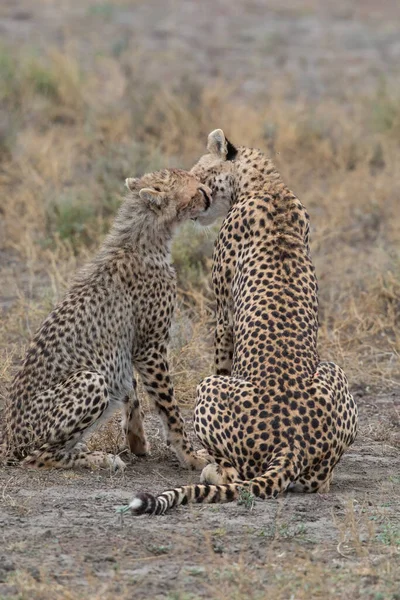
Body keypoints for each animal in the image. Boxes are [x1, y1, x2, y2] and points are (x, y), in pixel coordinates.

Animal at [3, 168, 214, 468]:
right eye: (198, 190)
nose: (210, 195)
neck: (141, 239)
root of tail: (9, 440)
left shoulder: (130, 347)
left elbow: (131, 391)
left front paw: (138, 441)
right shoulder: (151, 348)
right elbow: (169, 408)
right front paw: (190, 456)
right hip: (90, 380)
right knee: (38, 458)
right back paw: (98, 458)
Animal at [130, 129, 358, 512]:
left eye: (201, 176)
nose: (198, 203)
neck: (266, 185)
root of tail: (291, 445)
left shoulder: (223, 318)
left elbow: (222, 360)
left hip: (209, 389)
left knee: (235, 473)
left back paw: (211, 467)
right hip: (333, 372)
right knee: (320, 481)